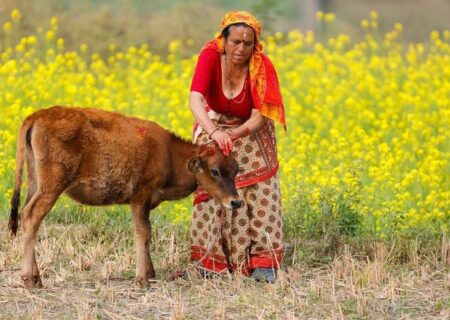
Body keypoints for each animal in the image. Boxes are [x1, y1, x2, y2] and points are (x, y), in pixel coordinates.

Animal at [7, 106, 243, 288]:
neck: (168, 153)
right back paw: (30, 279)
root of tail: (37, 116)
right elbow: (143, 233)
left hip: (35, 183)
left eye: (235, 170)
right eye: (215, 171)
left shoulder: (145, 203)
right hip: (51, 187)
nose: (235, 201)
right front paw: (142, 279)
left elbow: (147, 233)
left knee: (25, 215)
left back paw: (36, 277)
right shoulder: (140, 197)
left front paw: (150, 273)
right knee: (31, 217)